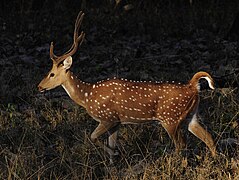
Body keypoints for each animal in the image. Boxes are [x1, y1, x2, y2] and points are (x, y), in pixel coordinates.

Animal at [37, 10, 217, 162]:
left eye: (51, 73)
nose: (39, 86)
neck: (87, 96)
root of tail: (193, 86)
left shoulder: (108, 117)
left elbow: (93, 137)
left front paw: (115, 153)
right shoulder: (116, 122)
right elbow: (110, 144)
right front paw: (113, 163)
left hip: (170, 118)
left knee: (182, 145)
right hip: (191, 115)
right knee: (209, 138)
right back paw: (215, 161)